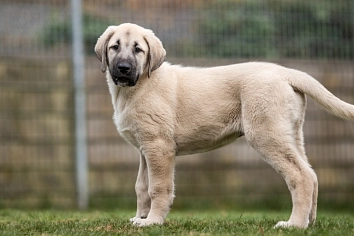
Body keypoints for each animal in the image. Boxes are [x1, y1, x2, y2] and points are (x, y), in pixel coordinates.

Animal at [94, 23, 354, 228]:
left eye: (138, 49)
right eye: (114, 47)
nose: (124, 68)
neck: (138, 86)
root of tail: (285, 72)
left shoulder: (158, 148)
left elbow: (157, 187)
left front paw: (153, 222)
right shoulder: (144, 150)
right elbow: (141, 186)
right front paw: (140, 218)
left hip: (266, 134)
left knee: (301, 176)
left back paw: (294, 224)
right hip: (290, 134)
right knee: (312, 174)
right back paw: (309, 222)